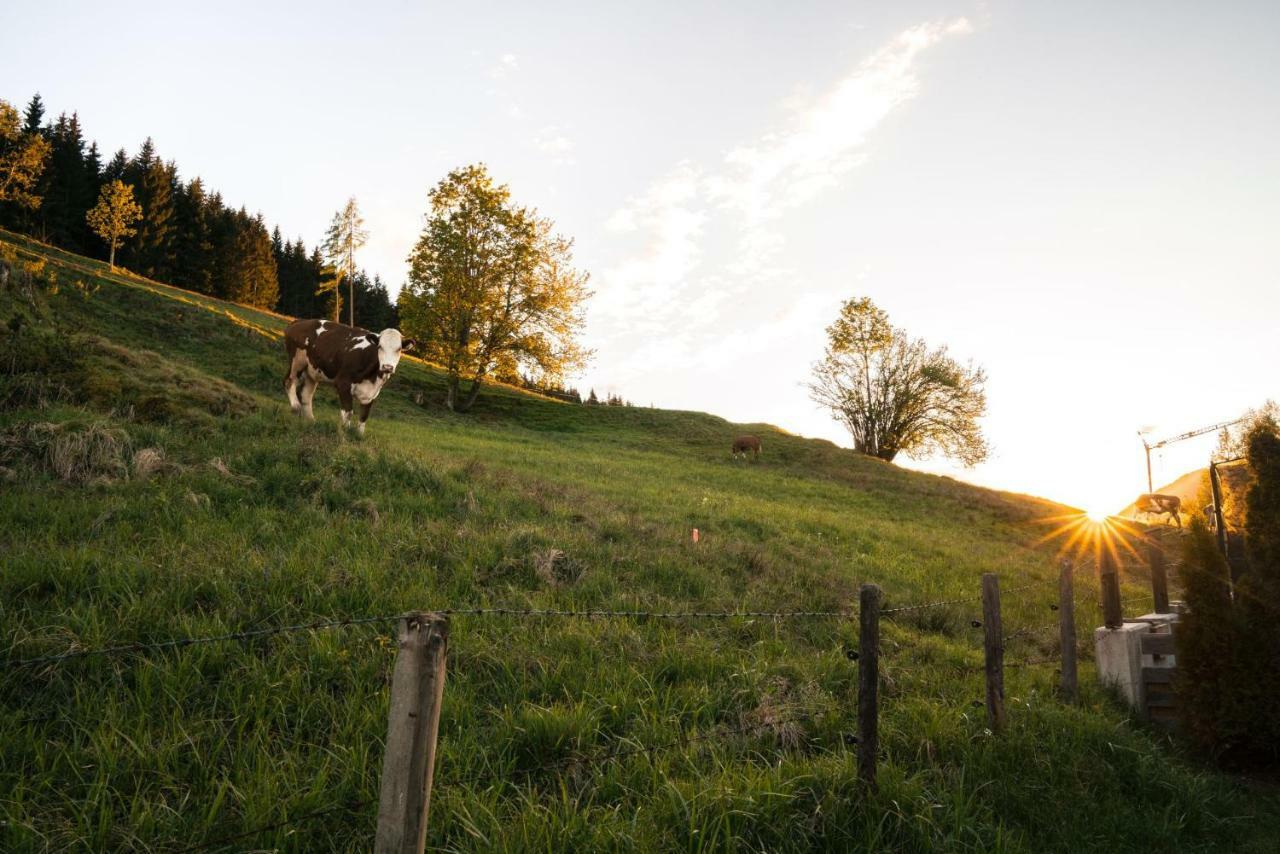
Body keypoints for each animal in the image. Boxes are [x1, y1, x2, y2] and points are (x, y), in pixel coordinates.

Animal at [284, 318, 414, 437]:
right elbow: (348, 412)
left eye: (399, 349)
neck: (372, 378)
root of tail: (299, 321)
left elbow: (364, 416)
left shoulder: (372, 393)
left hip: (312, 370)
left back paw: (311, 421)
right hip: (297, 360)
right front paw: (343, 434)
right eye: (380, 347)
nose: (387, 367)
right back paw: (295, 407)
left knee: (306, 394)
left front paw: (359, 436)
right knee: (289, 381)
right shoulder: (343, 383)